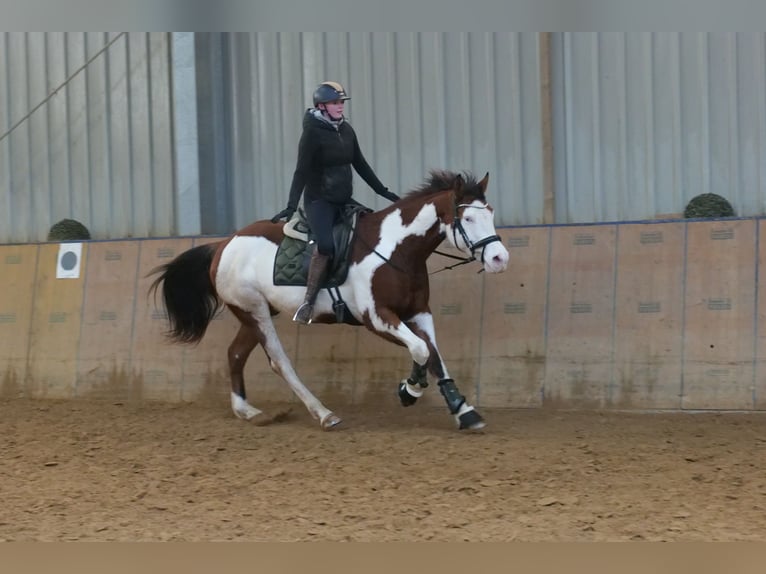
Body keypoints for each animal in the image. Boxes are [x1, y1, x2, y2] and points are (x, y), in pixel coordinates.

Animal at [148, 170, 509, 431]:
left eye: (490, 213)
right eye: (468, 219)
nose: (499, 259)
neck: (397, 249)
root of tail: (223, 244)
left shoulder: (419, 313)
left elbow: (434, 355)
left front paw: (463, 410)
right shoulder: (376, 317)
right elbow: (421, 350)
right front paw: (409, 390)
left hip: (256, 311)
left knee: (236, 354)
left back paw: (248, 412)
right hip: (254, 311)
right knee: (279, 361)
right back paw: (323, 413)